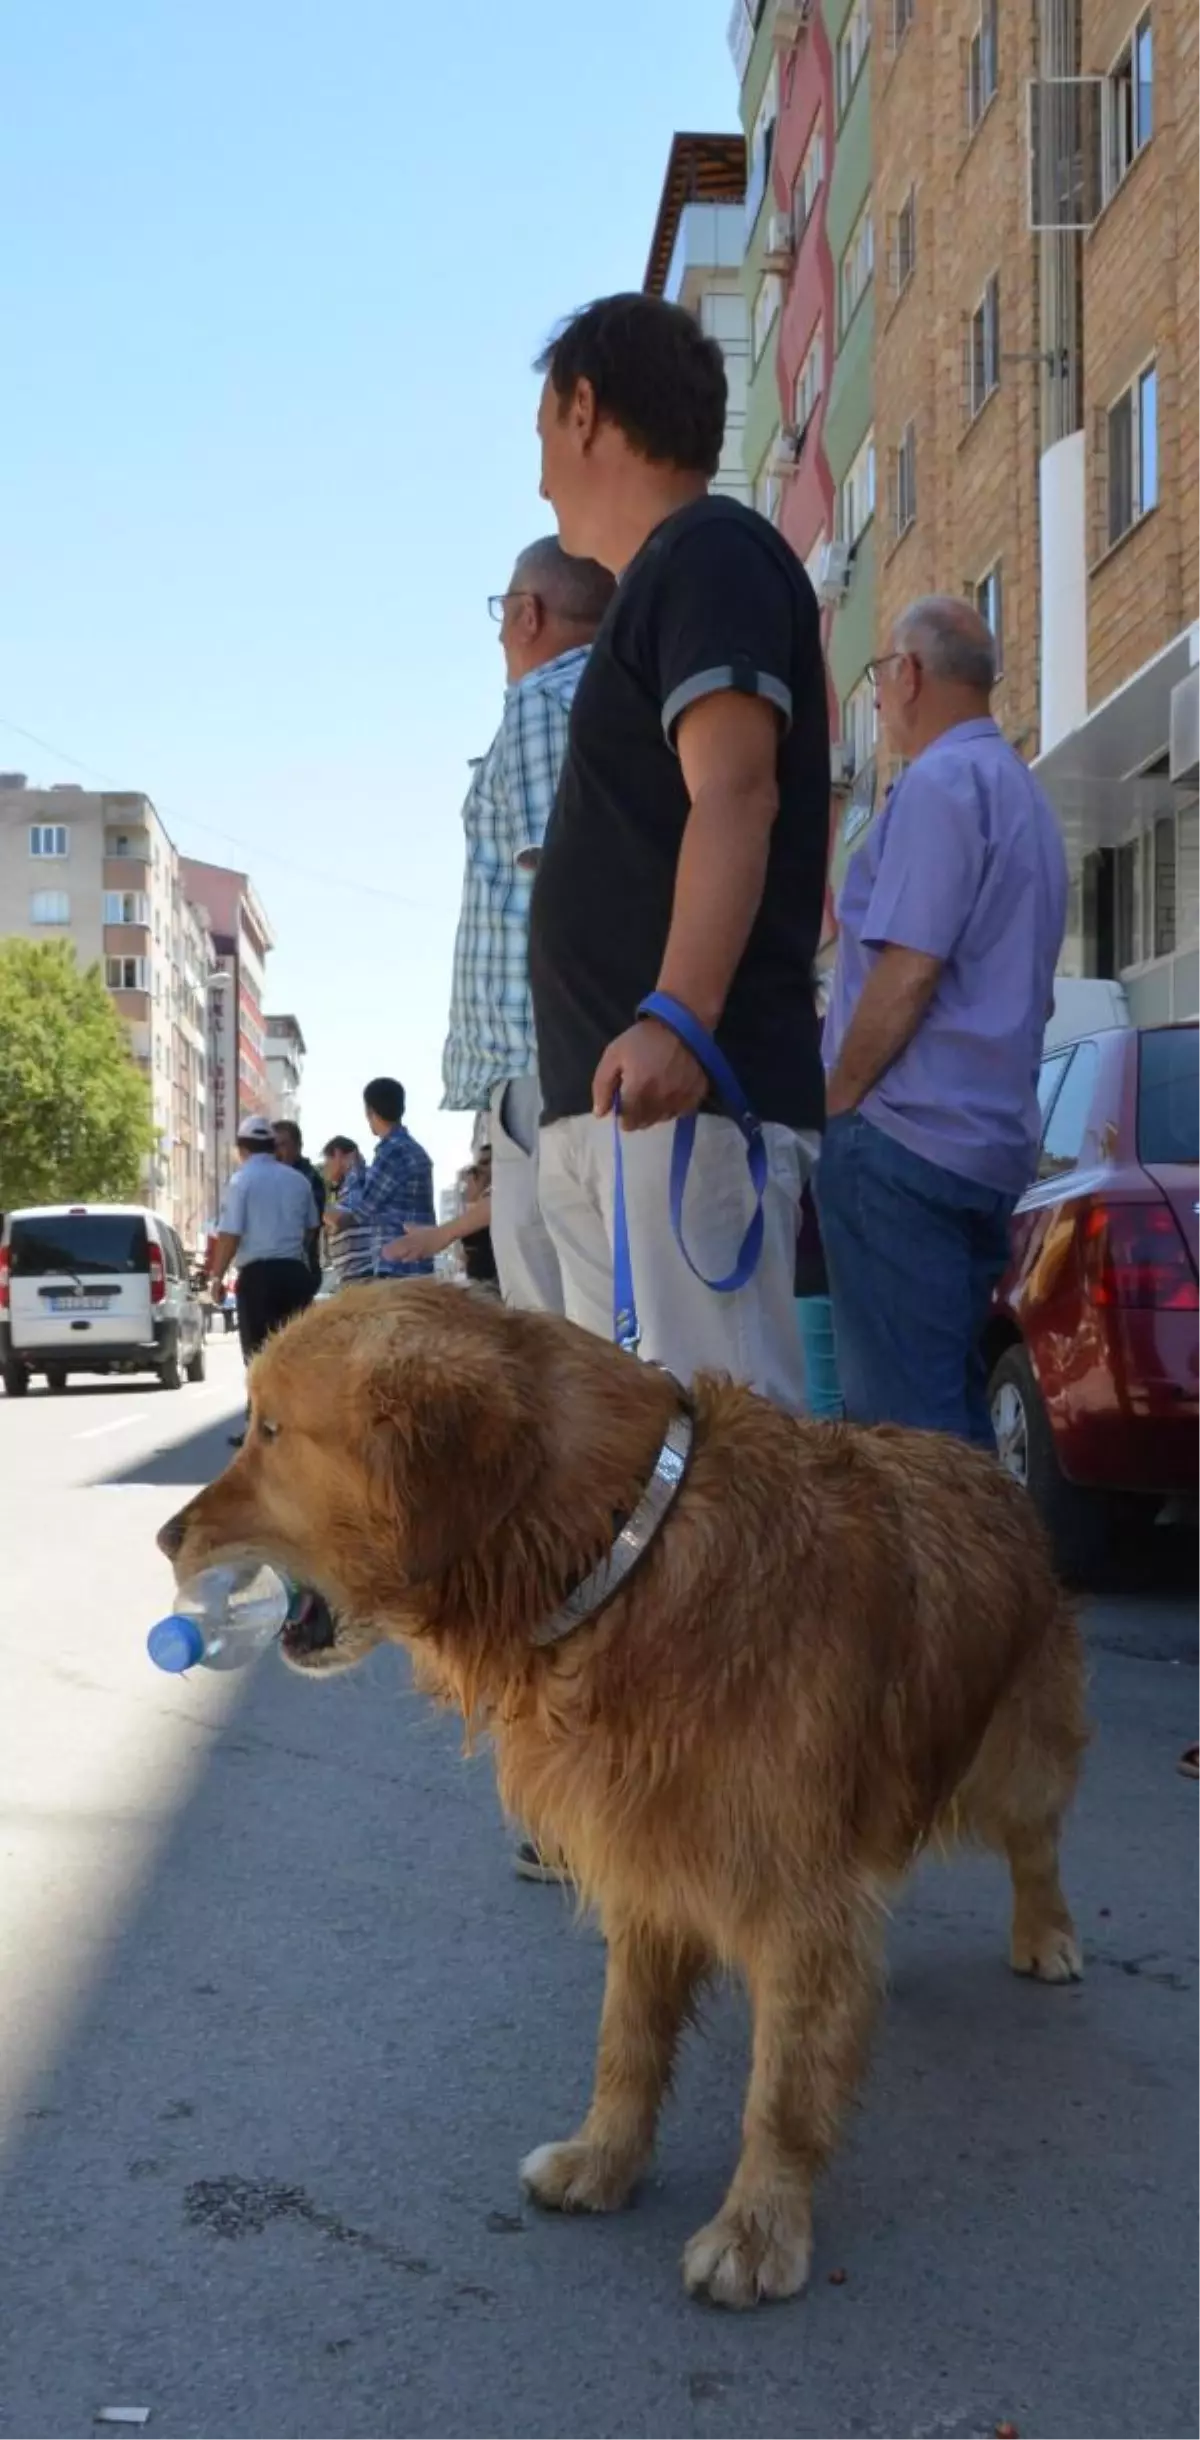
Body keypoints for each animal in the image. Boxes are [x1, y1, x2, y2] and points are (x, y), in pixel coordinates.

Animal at [157, 1288, 1087, 2313]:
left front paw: (758, 2226)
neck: (624, 1557)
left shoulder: (796, 1895)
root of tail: (984, 1457)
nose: (165, 1538)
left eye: (273, 1431)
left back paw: (1045, 1936)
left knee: (1036, 1844)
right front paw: (604, 2160)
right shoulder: (646, 1863)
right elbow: (627, 2042)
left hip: (1021, 1757)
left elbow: (782, 2089)